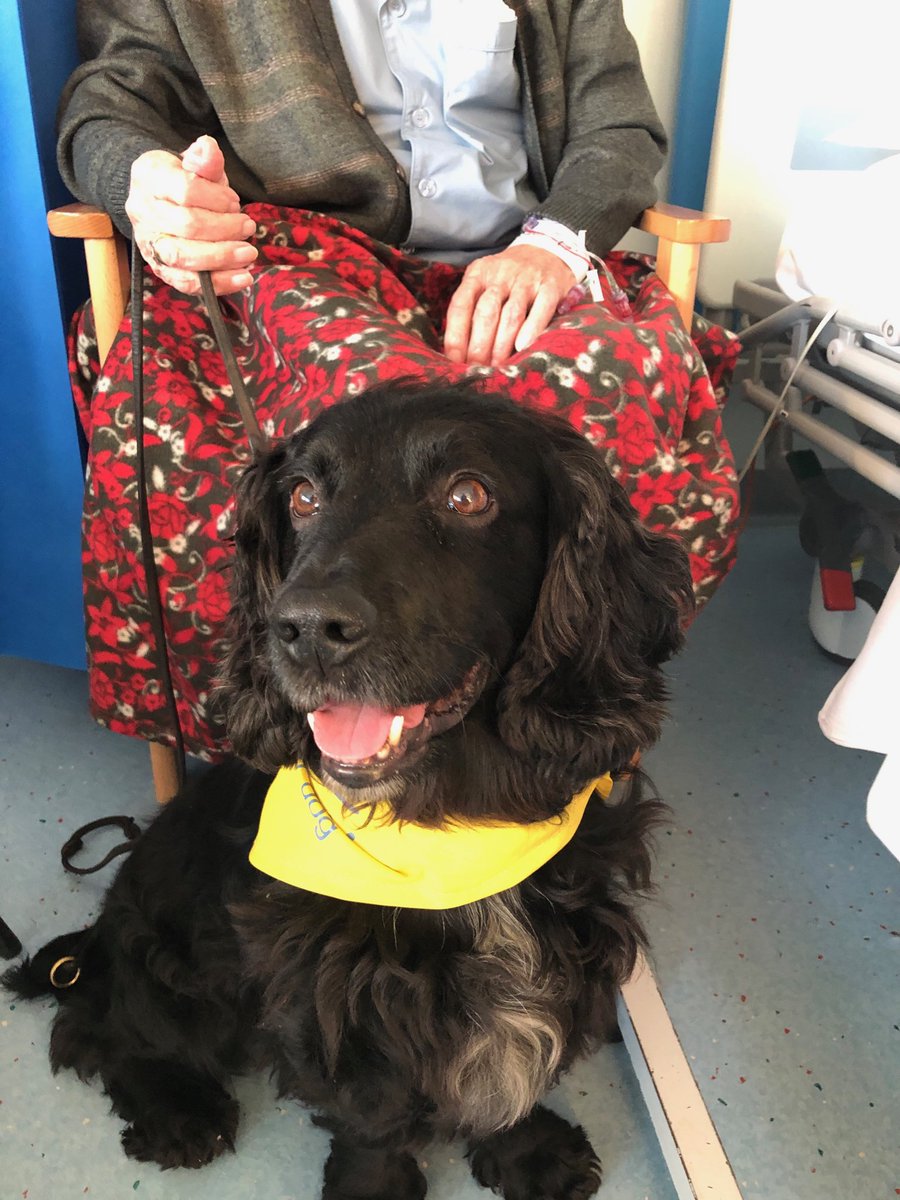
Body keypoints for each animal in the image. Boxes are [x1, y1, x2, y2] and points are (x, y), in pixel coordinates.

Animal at [5, 384, 691, 1200]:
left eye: (468, 495)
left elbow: (510, 1077)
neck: (448, 835)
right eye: (302, 496)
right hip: (166, 956)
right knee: (99, 1026)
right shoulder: (327, 992)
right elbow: (372, 1113)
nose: (304, 629)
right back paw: (178, 1110)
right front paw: (374, 1184)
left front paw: (528, 1152)